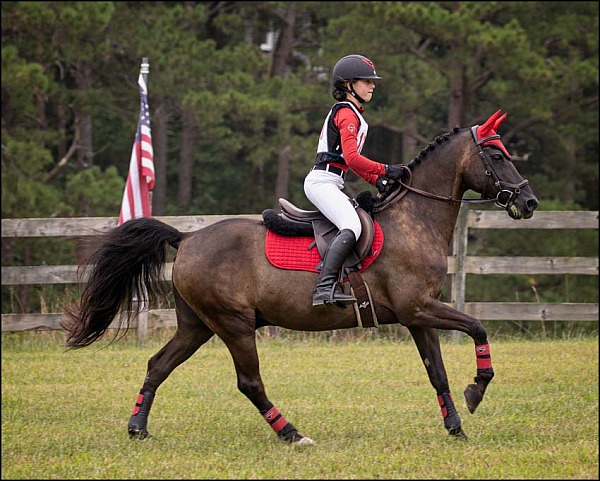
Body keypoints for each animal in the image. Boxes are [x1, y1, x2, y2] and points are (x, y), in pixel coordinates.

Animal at [62, 108, 540, 442]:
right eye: (496, 155)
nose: (529, 201)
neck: (414, 219)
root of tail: (187, 238)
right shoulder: (419, 308)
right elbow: (477, 327)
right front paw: (477, 389)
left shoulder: (418, 316)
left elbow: (437, 372)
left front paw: (456, 425)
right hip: (233, 325)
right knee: (249, 382)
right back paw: (292, 434)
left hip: (197, 325)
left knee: (158, 365)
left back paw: (138, 428)